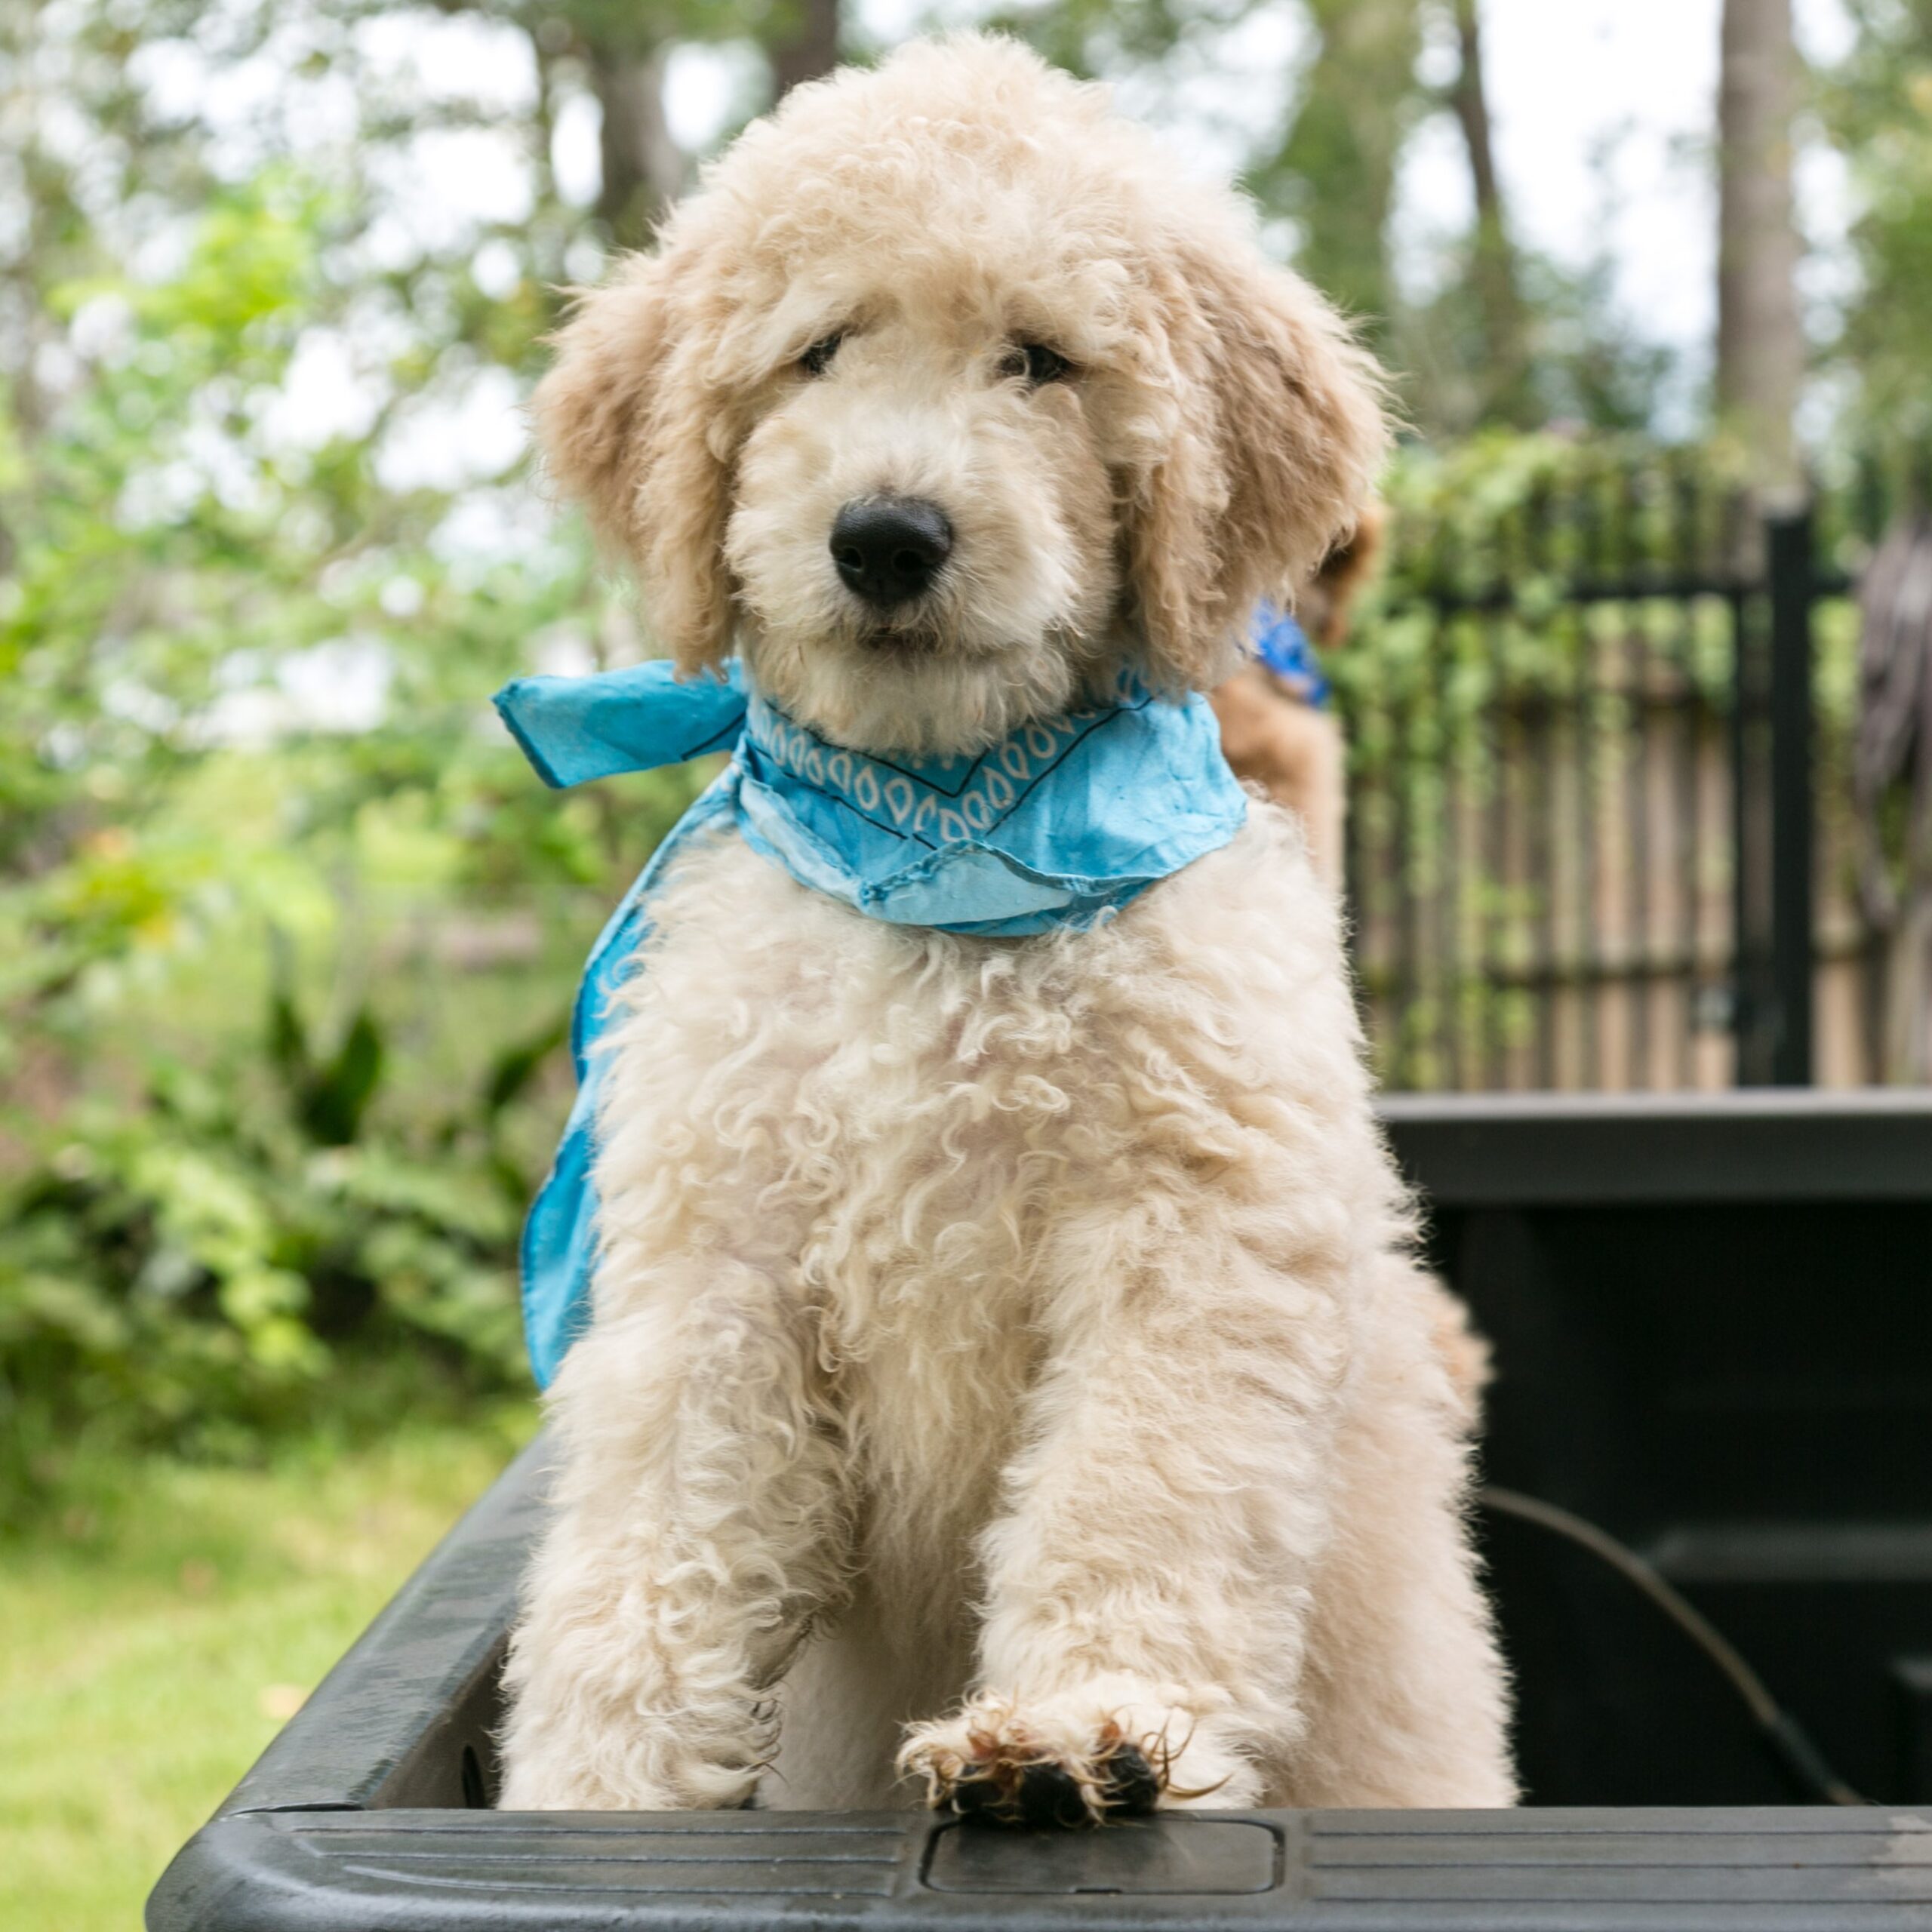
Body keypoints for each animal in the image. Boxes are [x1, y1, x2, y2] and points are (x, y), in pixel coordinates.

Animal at [494, 34, 1506, 1823]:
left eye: (1038, 361)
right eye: (817, 349)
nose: (887, 536)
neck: (944, 846)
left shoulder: (1185, 1242)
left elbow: (1135, 1490)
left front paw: (1080, 1722)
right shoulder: (717, 1263)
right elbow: (651, 1538)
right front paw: (597, 1787)